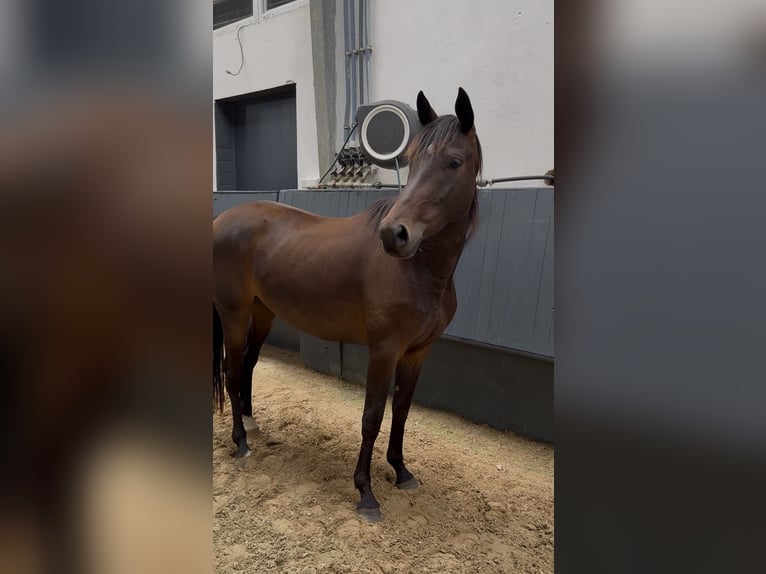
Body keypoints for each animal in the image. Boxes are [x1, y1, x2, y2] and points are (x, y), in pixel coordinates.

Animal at [213, 87, 482, 521]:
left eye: (454, 162)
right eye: (412, 160)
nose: (394, 235)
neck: (419, 270)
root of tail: (223, 220)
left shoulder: (418, 352)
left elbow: (402, 409)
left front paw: (401, 471)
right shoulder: (384, 350)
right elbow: (372, 417)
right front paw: (365, 493)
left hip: (262, 312)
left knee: (249, 365)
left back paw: (253, 426)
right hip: (233, 313)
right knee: (233, 370)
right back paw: (240, 443)